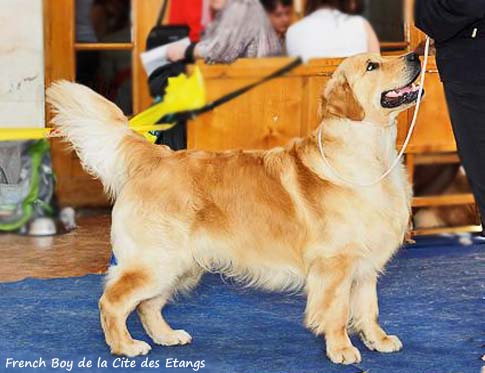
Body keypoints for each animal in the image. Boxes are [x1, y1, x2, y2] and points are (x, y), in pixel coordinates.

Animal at [47, 51, 422, 364]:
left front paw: (378, 340)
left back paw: (167, 336)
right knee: (113, 301)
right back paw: (125, 346)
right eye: (372, 65)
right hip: (156, 261)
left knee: (147, 305)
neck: (370, 154)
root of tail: (156, 157)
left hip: (180, 265)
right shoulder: (335, 264)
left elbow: (369, 309)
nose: (416, 55)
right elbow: (338, 311)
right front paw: (342, 349)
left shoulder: (365, 266)